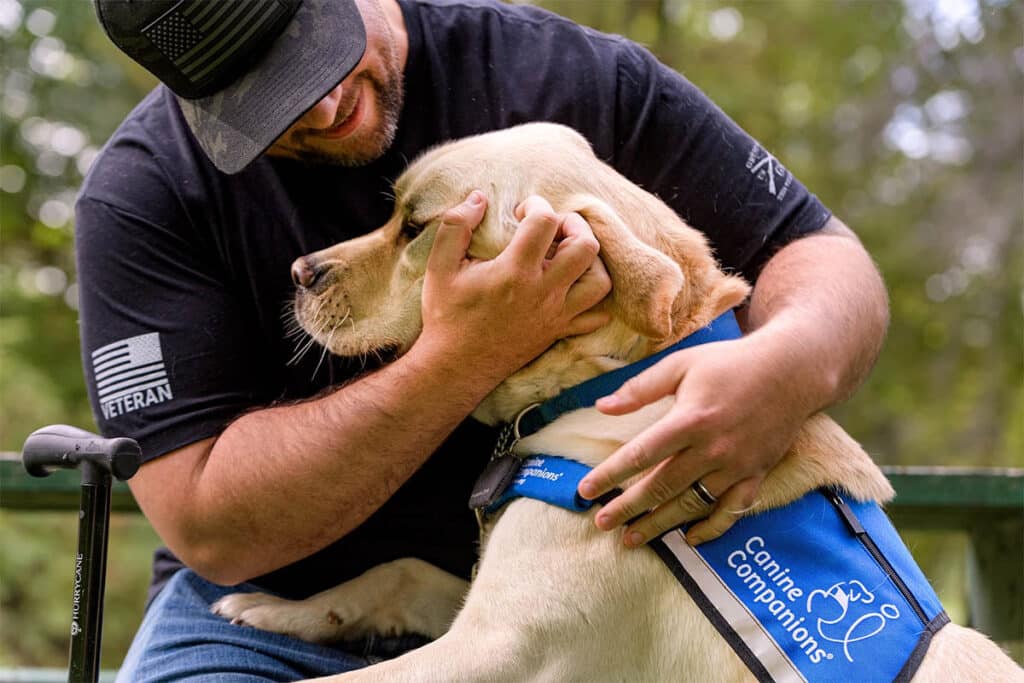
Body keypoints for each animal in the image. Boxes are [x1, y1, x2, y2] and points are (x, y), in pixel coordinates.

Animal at [211, 124, 1019, 683]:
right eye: (395, 214)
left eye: (415, 228)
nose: (300, 272)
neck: (610, 380)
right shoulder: (490, 603)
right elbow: (400, 569)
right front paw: (279, 607)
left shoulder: (498, 648)